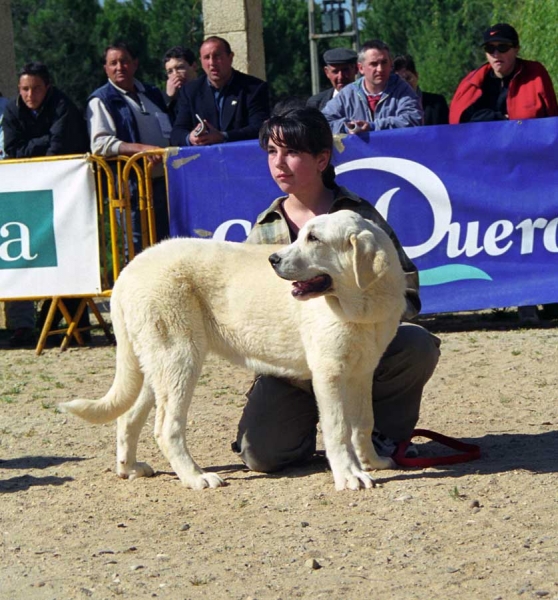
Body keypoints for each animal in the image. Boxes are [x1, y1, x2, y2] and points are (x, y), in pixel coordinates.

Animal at [61, 211, 410, 492]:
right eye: (302, 235)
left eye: (314, 238)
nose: (273, 260)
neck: (361, 306)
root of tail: (129, 269)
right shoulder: (330, 373)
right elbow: (338, 429)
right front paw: (349, 476)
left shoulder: (362, 371)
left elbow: (363, 423)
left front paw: (372, 462)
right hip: (180, 358)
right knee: (166, 427)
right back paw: (195, 477)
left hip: (156, 363)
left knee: (129, 416)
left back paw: (130, 468)